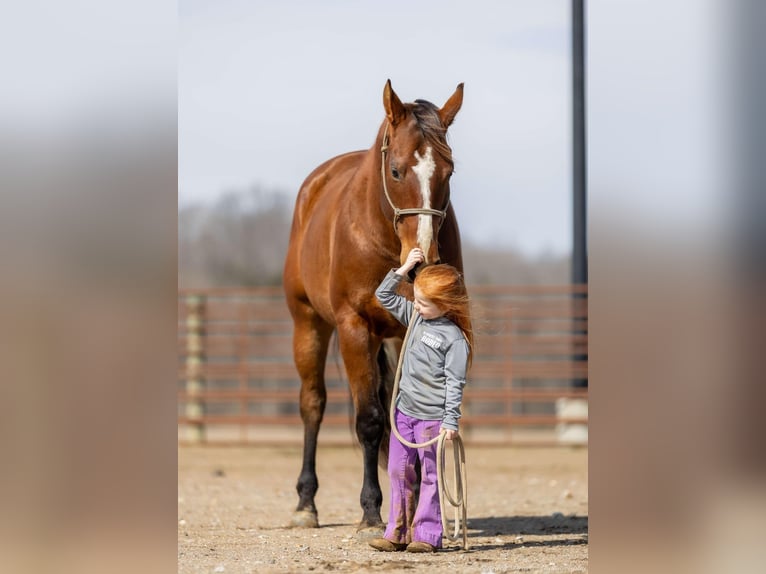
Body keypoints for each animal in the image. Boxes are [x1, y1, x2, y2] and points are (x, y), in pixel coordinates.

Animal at [280, 81, 462, 536]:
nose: (425, 256)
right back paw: (305, 504)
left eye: (449, 172)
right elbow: (369, 420)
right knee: (313, 404)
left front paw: (410, 508)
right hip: (308, 324)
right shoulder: (354, 327)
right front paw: (370, 512)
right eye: (396, 171)